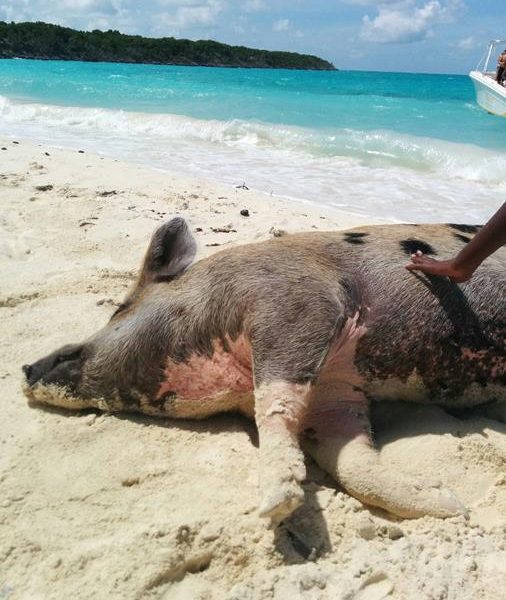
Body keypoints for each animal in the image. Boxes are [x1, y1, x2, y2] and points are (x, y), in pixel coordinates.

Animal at [23, 218, 506, 524]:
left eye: (119, 309)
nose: (26, 368)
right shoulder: (339, 386)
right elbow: (350, 456)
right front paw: (451, 506)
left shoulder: (295, 303)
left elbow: (272, 401)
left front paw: (275, 504)